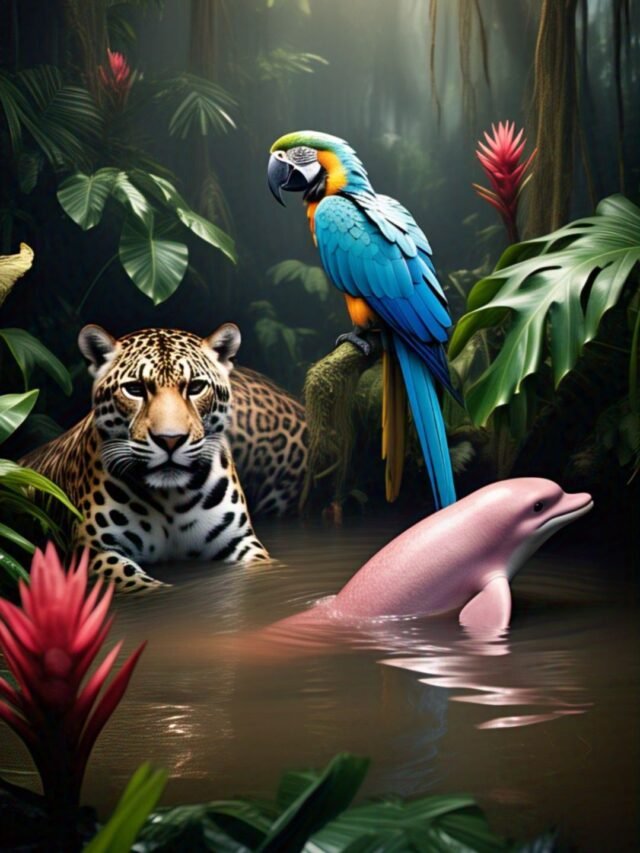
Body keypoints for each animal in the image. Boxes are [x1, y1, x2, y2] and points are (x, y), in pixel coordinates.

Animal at [21, 323, 307, 592]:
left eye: (196, 387)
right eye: (135, 389)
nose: (170, 439)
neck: (172, 499)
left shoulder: (239, 541)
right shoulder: (96, 551)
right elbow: (142, 585)